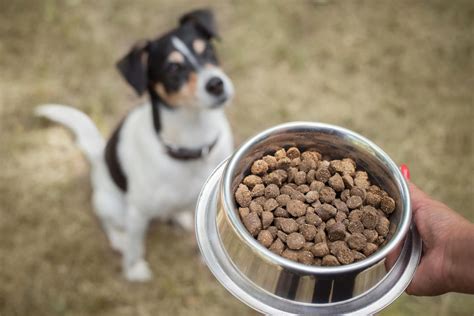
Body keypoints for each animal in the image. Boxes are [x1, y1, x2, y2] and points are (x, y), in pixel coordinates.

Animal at [36, 9, 234, 282]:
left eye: (207, 50)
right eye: (173, 67)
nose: (216, 84)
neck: (193, 142)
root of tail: (99, 158)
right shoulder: (137, 213)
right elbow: (135, 246)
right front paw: (134, 270)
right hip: (111, 204)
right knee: (109, 223)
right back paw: (119, 238)